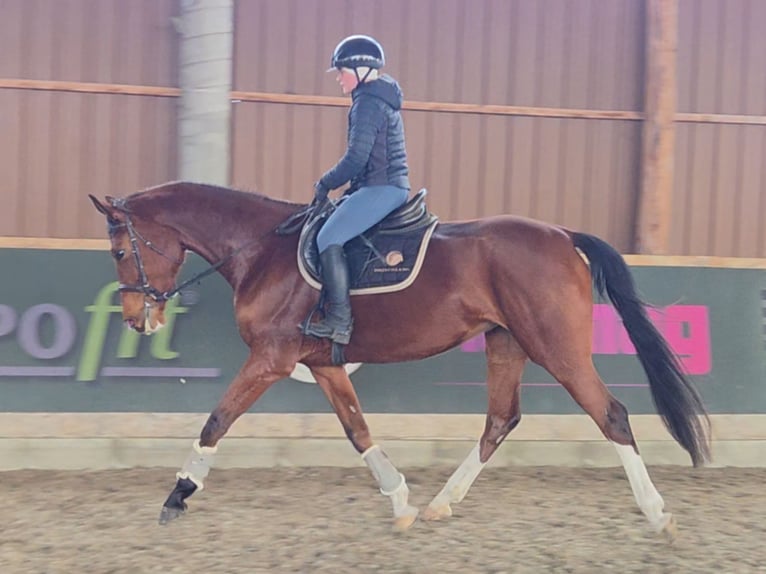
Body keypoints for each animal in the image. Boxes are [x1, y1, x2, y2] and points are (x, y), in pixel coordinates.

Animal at [89, 181, 710, 539]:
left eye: (119, 251)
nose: (137, 319)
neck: (263, 250)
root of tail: (562, 235)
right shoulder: (323, 364)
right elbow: (358, 430)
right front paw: (401, 500)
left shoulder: (269, 358)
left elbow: (216, 421)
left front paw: (177, 495)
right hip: (506, 342)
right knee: (500, 420)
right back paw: (440, 504)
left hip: (555, 345)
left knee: (612, 416)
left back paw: (657, 513)